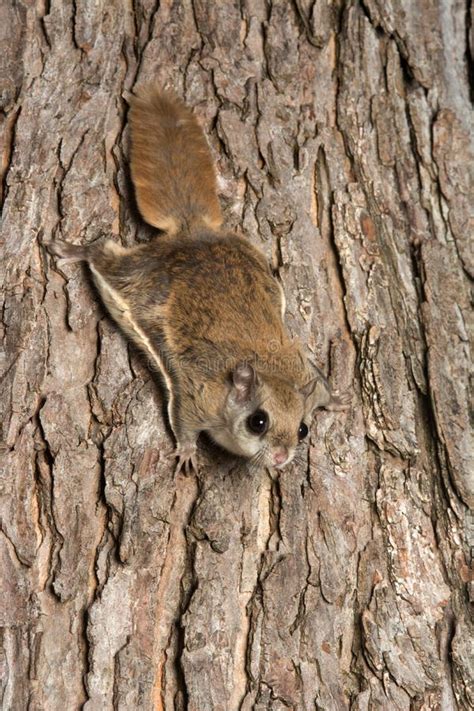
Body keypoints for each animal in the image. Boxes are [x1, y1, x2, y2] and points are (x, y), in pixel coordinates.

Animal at [47, 87, 348, 472]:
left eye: (303, 429)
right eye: (258, 421)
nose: (281, 458)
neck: (265, 372)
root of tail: (192, 231)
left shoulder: (304, 372)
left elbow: (321, 385)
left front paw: (336, 399)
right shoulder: (196, 397)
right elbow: (184, 421)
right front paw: (188, 452)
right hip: (135, 275)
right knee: (103, 253)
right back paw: (73, 250)